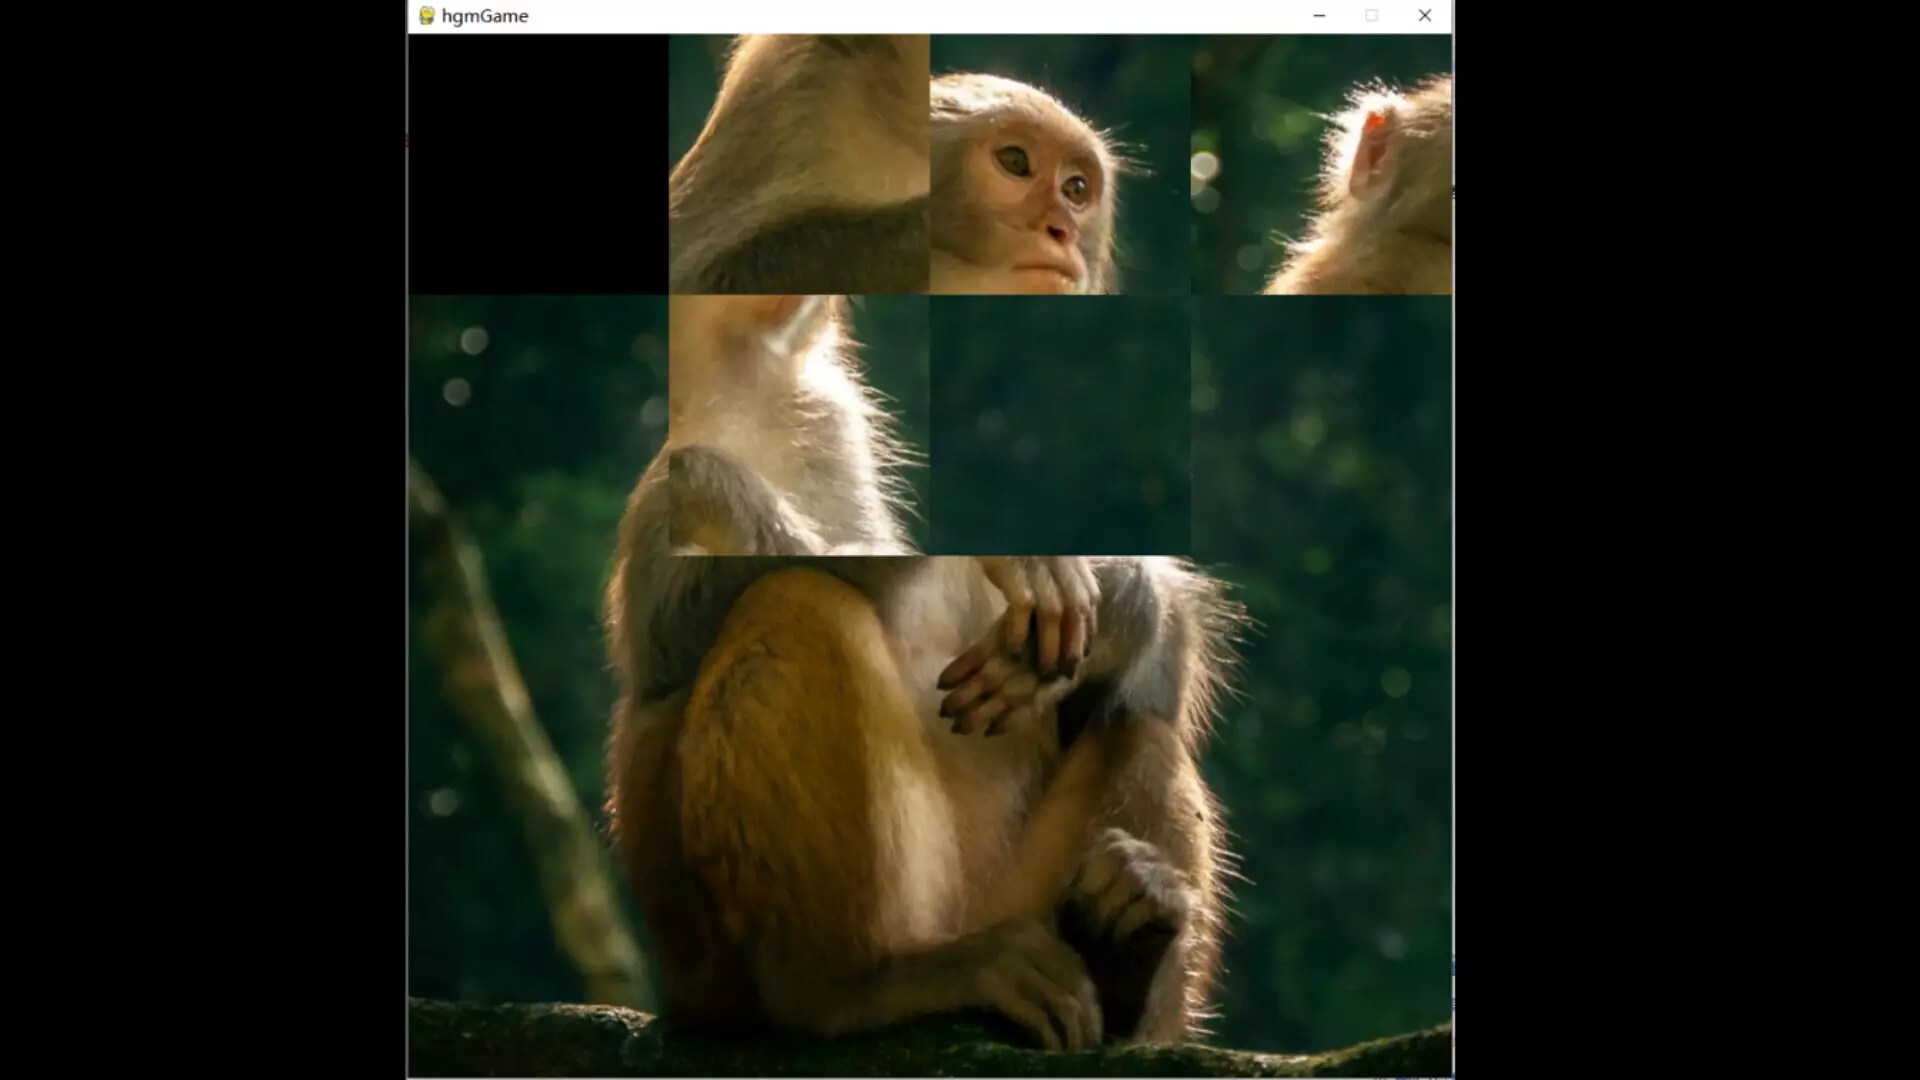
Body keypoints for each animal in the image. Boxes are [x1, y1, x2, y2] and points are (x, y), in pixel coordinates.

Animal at [604, 293, 1244, 1050]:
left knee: (1137, 728)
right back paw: (849, 987)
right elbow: (664, 651)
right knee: (793, 601)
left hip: (1006, 899)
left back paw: (1125, 967)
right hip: (712, 952)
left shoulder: (826, 429)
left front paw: (1121, 607)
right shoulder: (665, 502)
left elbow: (1127, 686)